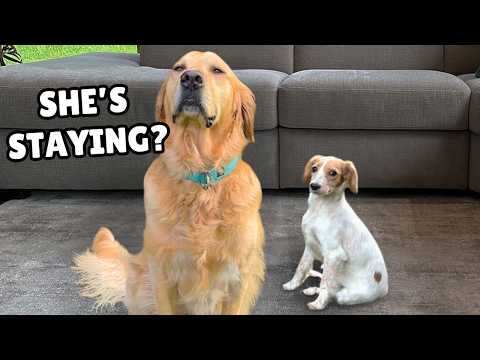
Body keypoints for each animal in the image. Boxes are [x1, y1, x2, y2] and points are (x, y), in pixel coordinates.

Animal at [284, 155, 388, 310]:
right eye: (314, 168)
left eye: (333, 173)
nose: (314, 186)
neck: (320, 209)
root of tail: (384, 290)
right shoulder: (310, 245)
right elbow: (301, 267)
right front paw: (292, 284)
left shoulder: (334, 254)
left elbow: (325, 284)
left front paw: (318, 304)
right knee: (330, 284)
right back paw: (311, 289)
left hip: (345, 295)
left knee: (333, 291)